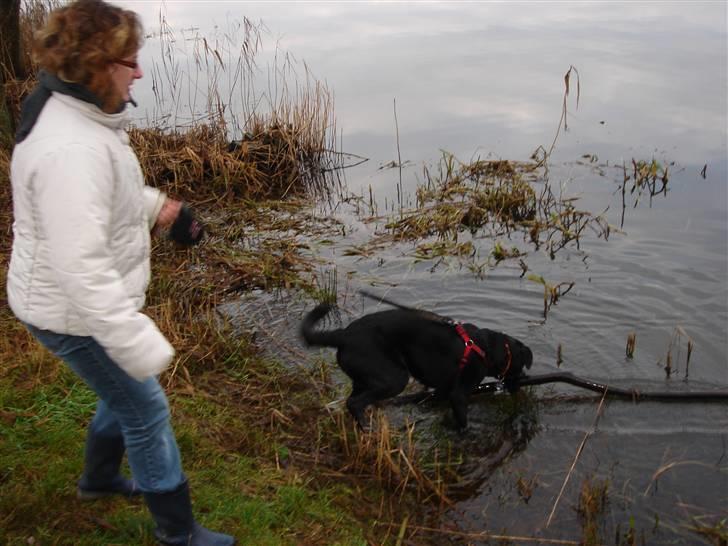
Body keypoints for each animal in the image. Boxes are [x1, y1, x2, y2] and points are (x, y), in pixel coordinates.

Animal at [298, 300, 532, 428]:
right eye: (520, 366)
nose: (524, 380)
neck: (486, 348)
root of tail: (344, 335)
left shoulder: (443, 391)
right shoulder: (458, 394)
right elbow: (463, 422)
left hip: (363, 378)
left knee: (353, 400)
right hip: (393, 379)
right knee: (355, 403)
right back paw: (367, 428)